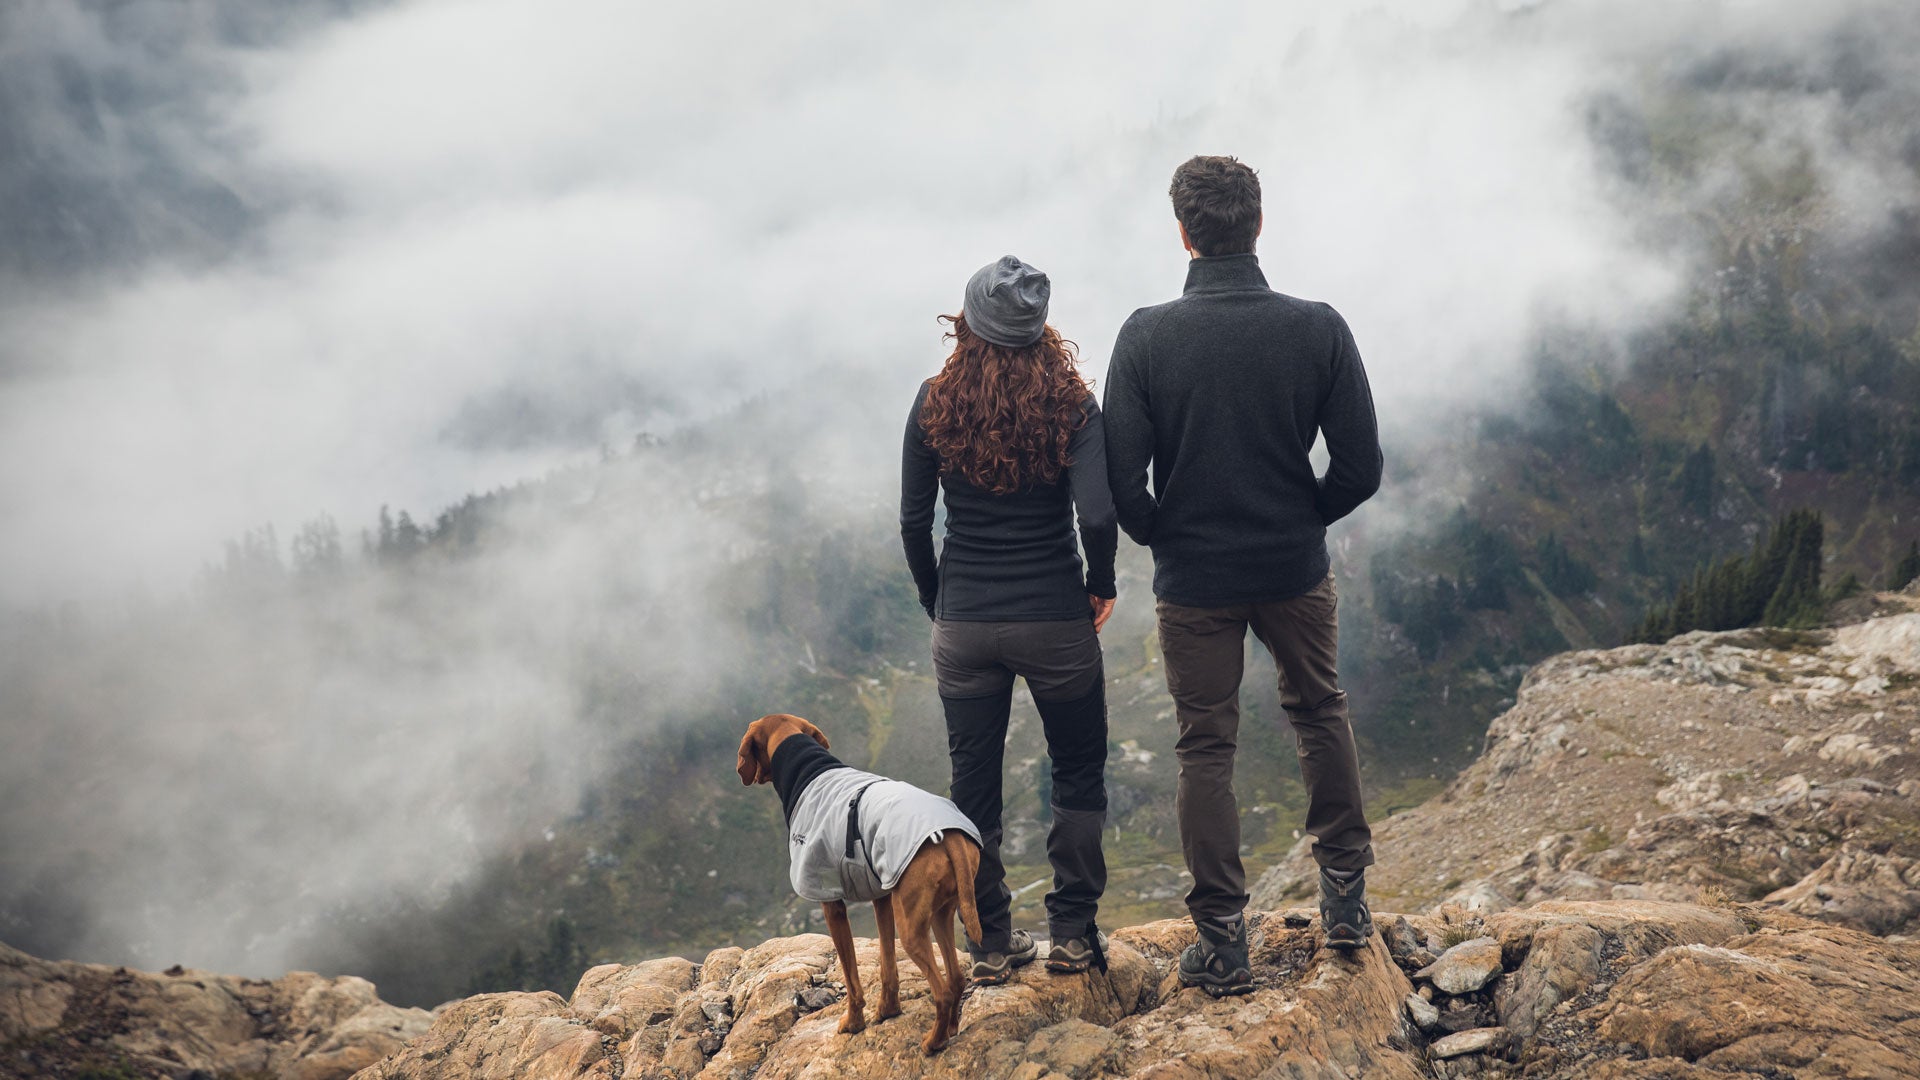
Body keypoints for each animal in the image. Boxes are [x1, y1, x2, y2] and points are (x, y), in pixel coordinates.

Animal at [729, 711, 983, 1045]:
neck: (810, 770)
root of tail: (949, 833)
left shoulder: (829, 901)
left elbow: (851, 977)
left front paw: (853, 1021)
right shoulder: (881, 896)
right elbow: (887, 964)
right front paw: (888, 1009)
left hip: (911, 928)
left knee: (941, 991)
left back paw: (932, 1043)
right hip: (941, 913)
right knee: (955, 978)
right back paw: (950, 1029)